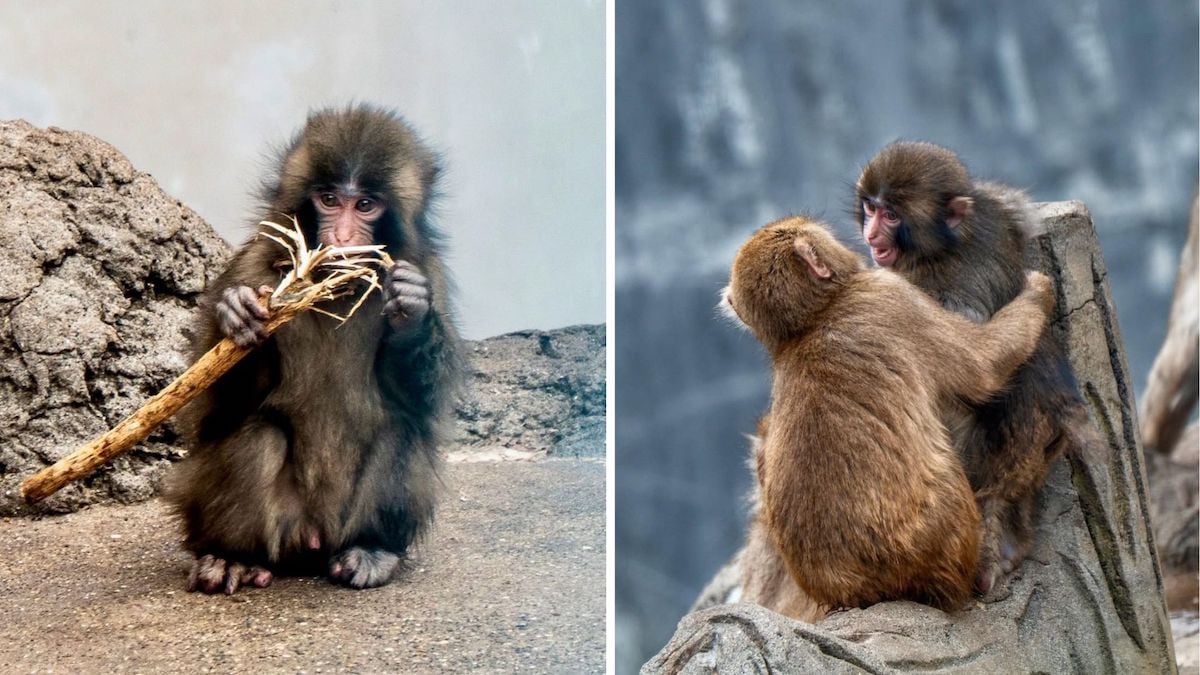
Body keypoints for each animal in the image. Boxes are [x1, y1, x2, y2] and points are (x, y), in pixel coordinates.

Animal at [165, 104, 462, 594]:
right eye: (328, 199)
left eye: (365, 205)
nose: (340, 237)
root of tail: (313, 539)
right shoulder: (253, 263)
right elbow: (211, 414)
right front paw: (237, 314)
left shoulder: (428, 269)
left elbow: (422, 404)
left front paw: (412, 312)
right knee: (254, 435)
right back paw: (232, 556)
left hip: (341, 527)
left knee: (399, 431)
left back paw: (372, 549)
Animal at [721, 215, 1055, 611]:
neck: (811, 322)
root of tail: (861, 590)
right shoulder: (892, 295)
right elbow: (985, 365)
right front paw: (1038, 290)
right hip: (949, 539)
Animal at [855, 141, 1098, 594]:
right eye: (871, 208)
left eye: (891, 215)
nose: (871, 234)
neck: (946, 244)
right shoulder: (998, 210)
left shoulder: (926, 291)